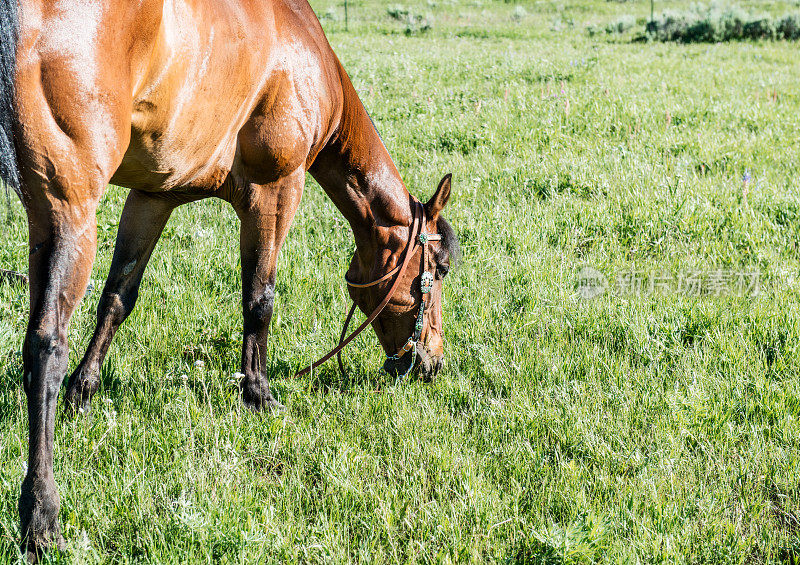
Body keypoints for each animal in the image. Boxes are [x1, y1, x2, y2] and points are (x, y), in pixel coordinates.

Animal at [1, 0, 456, 556]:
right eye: (438, 269)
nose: (430, 362)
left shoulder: (154, 197)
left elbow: (118, 296)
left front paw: (82, 394)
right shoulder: (274, 192)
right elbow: (259, 298)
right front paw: (258, 394)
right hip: (67, 209)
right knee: (45, 346)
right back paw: (41, 518)